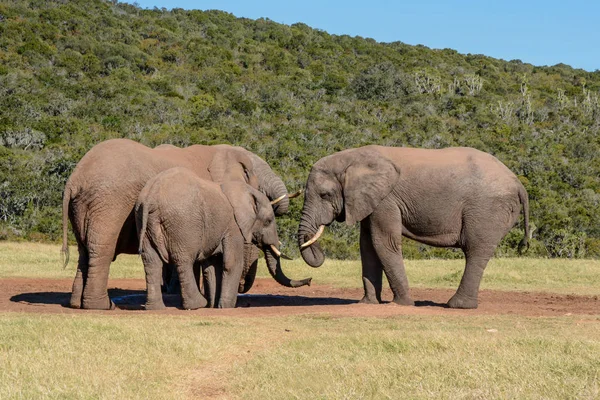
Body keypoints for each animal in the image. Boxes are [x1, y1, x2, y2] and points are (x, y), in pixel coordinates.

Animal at [137, 166, 312, 310]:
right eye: (268, 221)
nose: (310, 280)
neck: (243, 190)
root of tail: (151, 196)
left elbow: (211, 266)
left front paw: (215, 306)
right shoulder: (233, 226)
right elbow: (232, 263)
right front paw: (226, 307)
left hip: (143, 220)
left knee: (151, 262)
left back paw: (155, 308)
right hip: (183, 223)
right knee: (184, 260)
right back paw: (196, 305)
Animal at [298, 146, 528, 310]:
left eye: (325, 195)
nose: (309, 281)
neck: (353, 158)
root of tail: (519, 184)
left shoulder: (386, 199)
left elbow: (383, 243)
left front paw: (402, 304)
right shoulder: (369, 200)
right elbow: (367, 246)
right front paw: (367, 303)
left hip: (487, 209)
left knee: (475, 251)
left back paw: (457, 306)